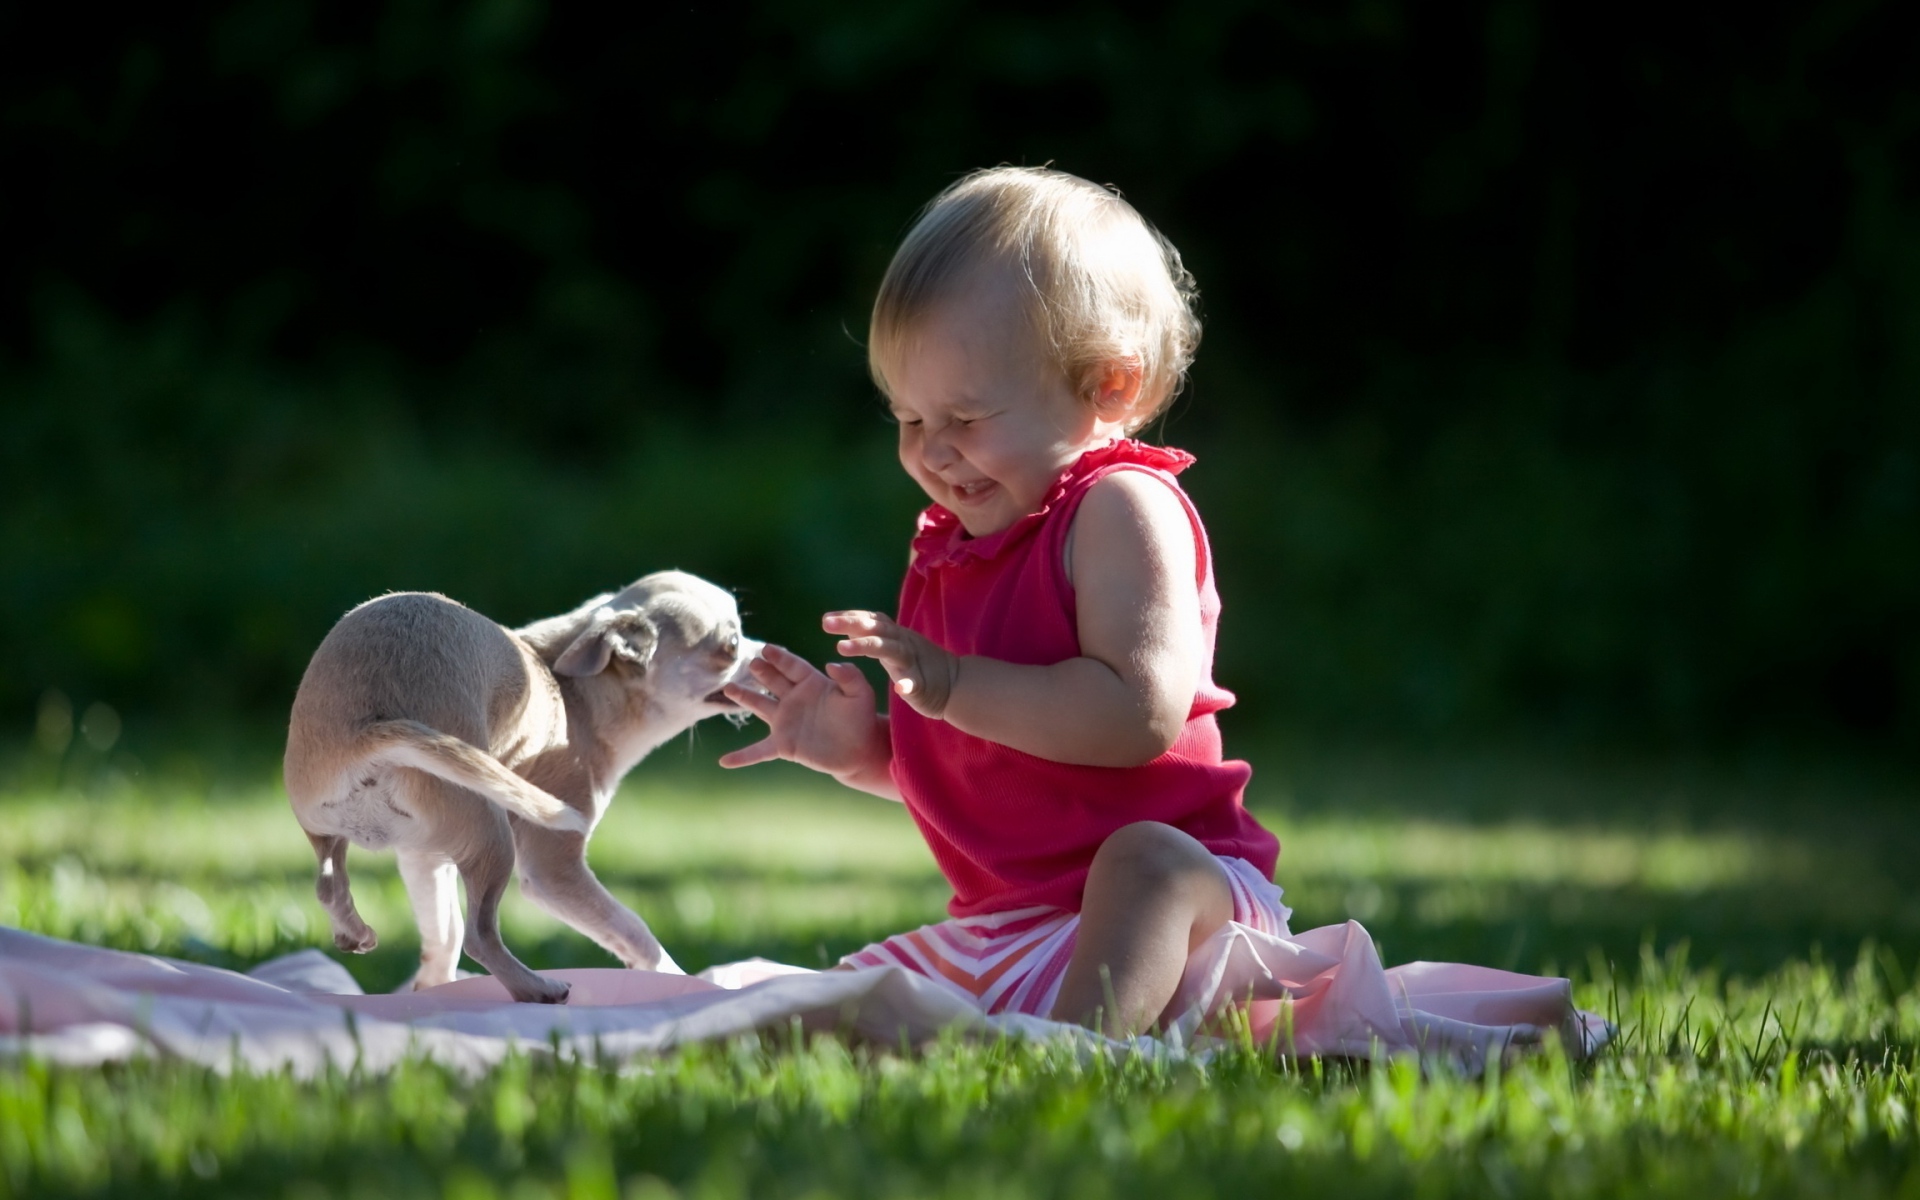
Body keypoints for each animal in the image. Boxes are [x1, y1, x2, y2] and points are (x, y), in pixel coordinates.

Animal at [286, 572, 764, 998]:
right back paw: (537, 988)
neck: (577, 693)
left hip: (330, 824)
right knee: (480, 936)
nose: (767, 652)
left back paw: (353, 930)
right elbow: (633, 929)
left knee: (330, 883)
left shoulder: (422, 856)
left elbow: (442, 933)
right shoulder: (553, 871)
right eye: (732, 645)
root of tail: (367, 732)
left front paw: (432, 987)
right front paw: (677, 978)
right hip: (494, 836)